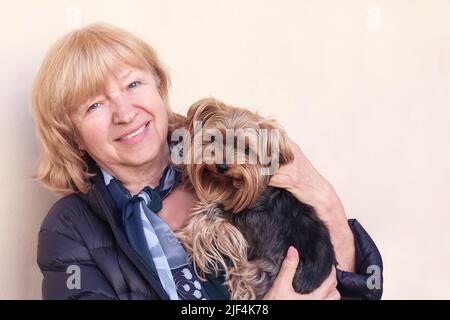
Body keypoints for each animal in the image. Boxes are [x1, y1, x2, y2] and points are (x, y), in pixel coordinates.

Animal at [178, 98, 336, 300]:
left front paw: (187, 239)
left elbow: (206, 216)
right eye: (214, 139)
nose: (221, 166)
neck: (229, 185)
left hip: (258, 271)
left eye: (247, 149)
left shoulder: (236, 218)